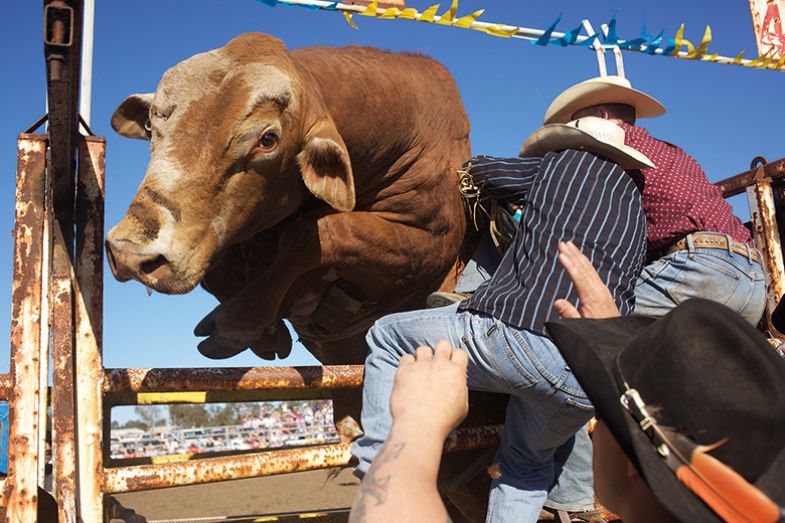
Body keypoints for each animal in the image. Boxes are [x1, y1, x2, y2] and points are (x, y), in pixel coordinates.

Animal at [106, 33, 472, 368]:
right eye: (151, 125)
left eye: (268, 140)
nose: (130, 253)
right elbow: (222, 267)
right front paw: (266, 330)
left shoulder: (426, 243)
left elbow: (311, 234)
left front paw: (238, 322)